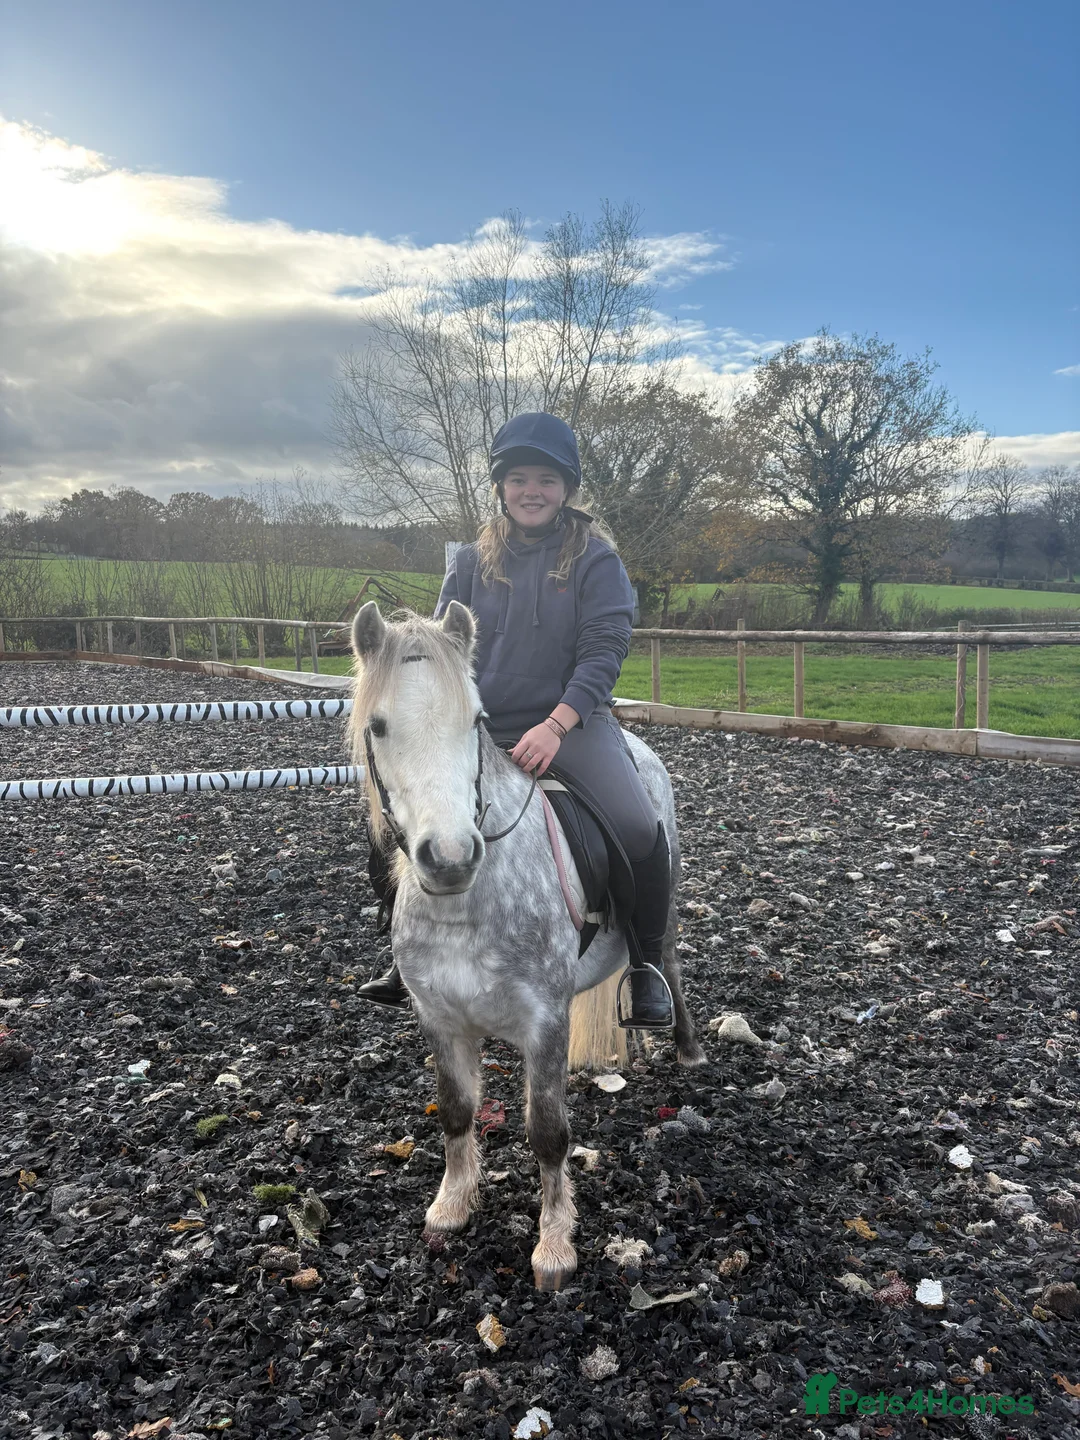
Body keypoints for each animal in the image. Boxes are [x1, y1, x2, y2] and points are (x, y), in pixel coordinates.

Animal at [347, 600, 703, 1291]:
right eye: (378, 726)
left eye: (475, 720)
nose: (450, 857)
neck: (466, 908)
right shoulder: (439, 1019)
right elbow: (456, 1111)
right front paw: (451, 1205)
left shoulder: (544, 1024)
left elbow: (547, 1133)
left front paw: (554, 1246)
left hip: (665, 897)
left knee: (667, 962)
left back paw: (686, 1046)